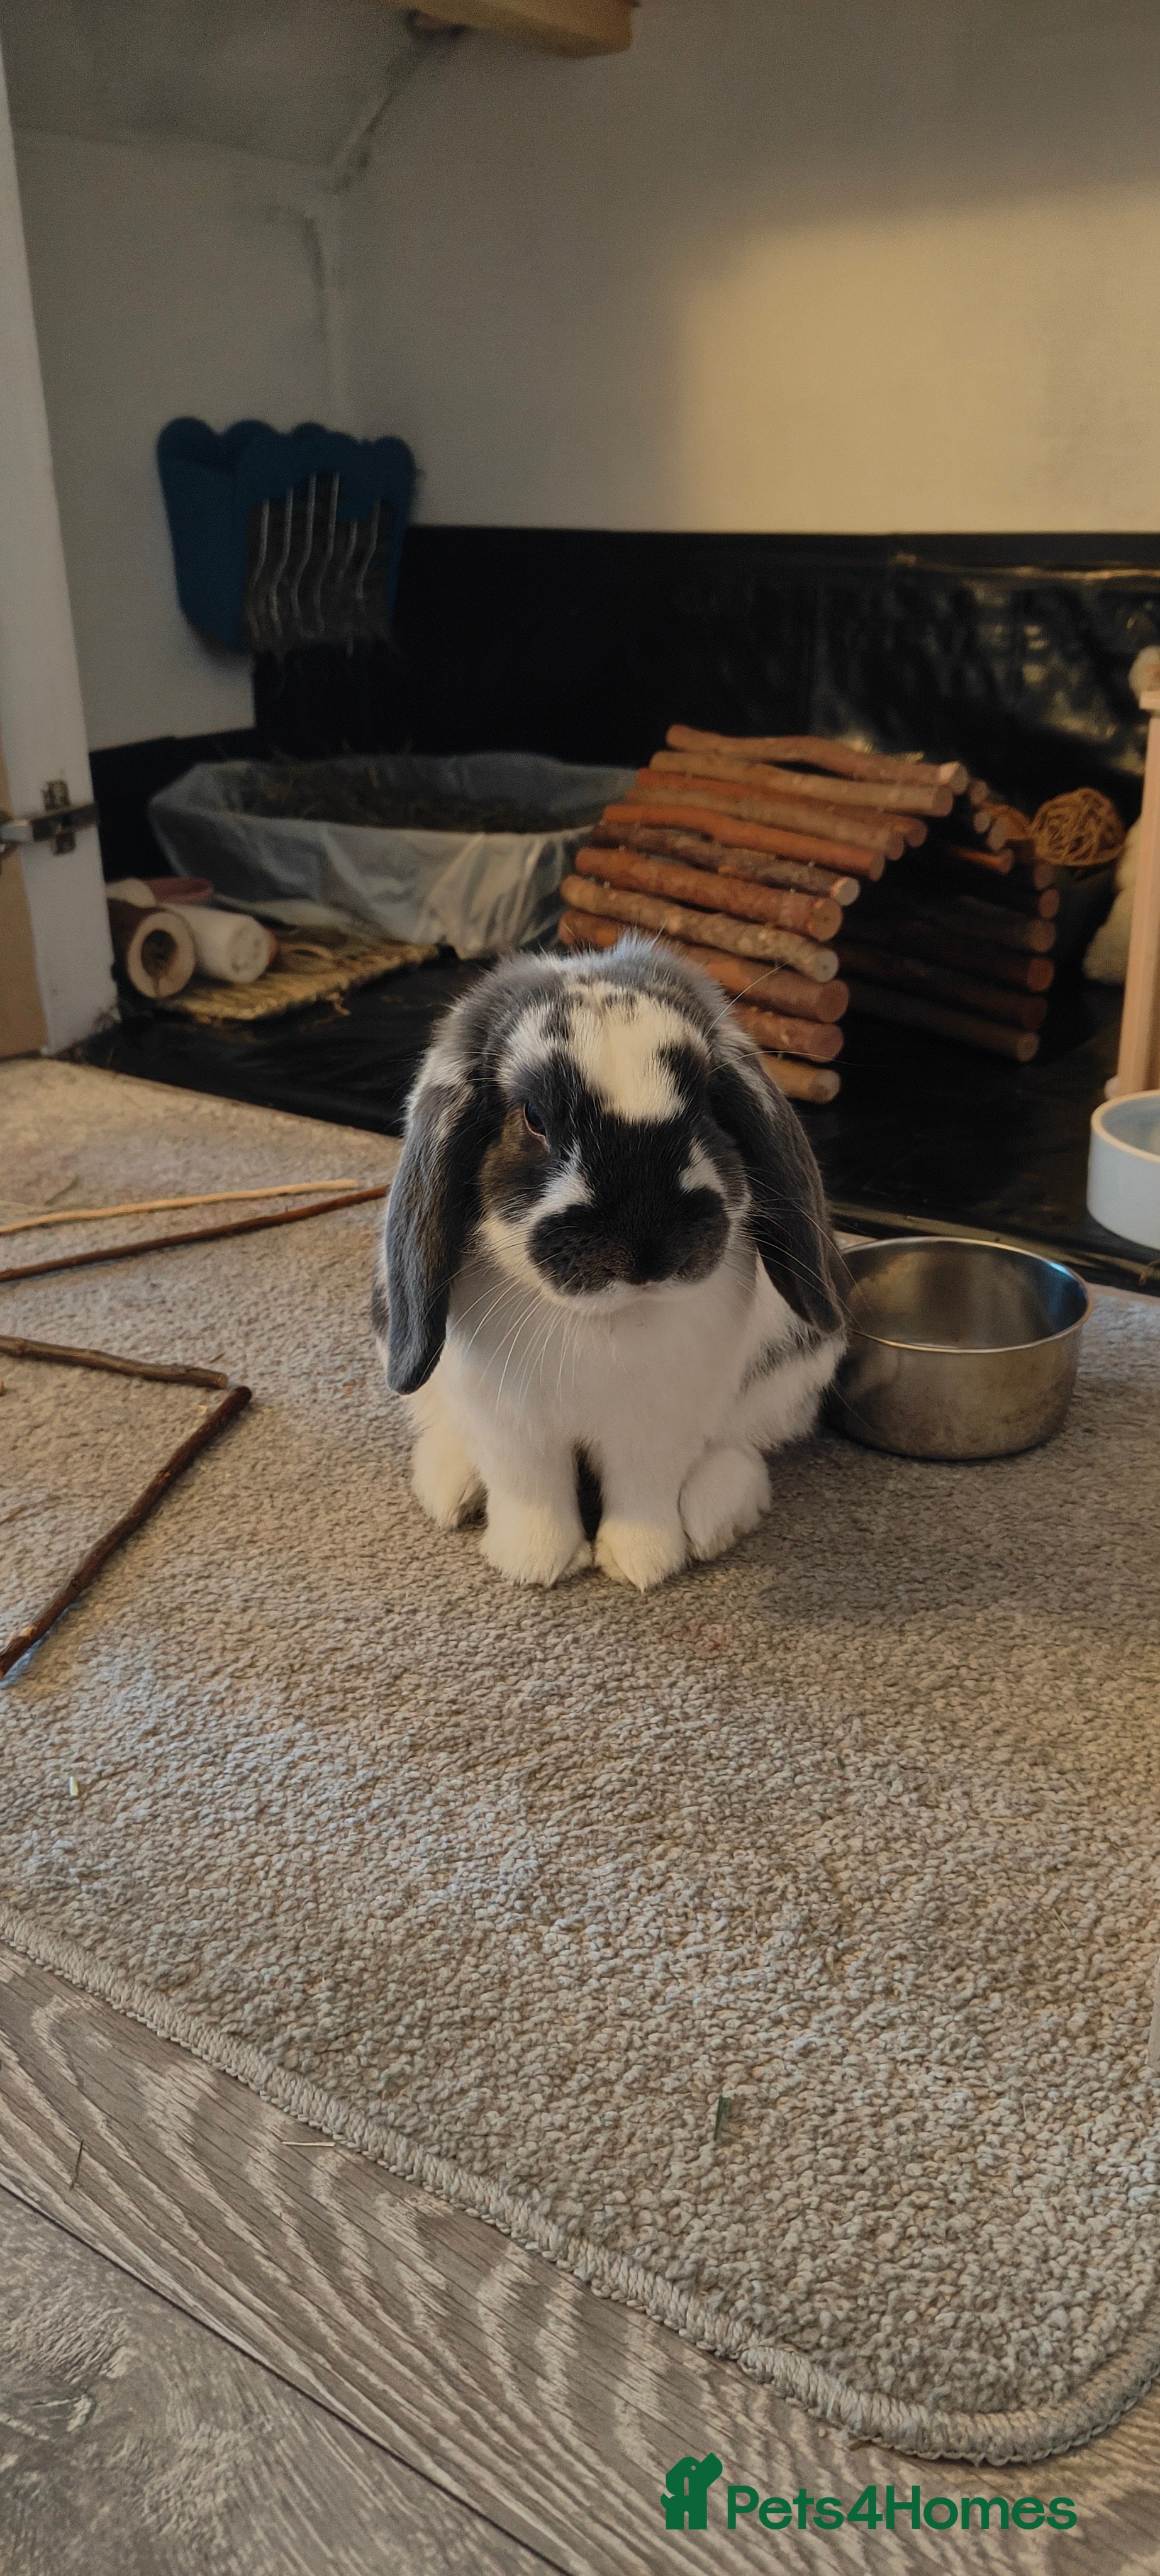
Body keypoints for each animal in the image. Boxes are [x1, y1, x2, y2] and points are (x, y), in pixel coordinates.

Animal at [372, 934, 847, 1591]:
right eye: (534, 1118)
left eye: (703, 1104)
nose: (647, 1248)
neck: (605, 1320)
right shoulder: (511, 1428)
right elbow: (531, 1492)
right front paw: (536, 1565)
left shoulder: (654, 1429)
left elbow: (643, 1494)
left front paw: (641, 1565)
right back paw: (451, 1489)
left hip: (790, 1372)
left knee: (745, 1446)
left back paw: (712, 1518)